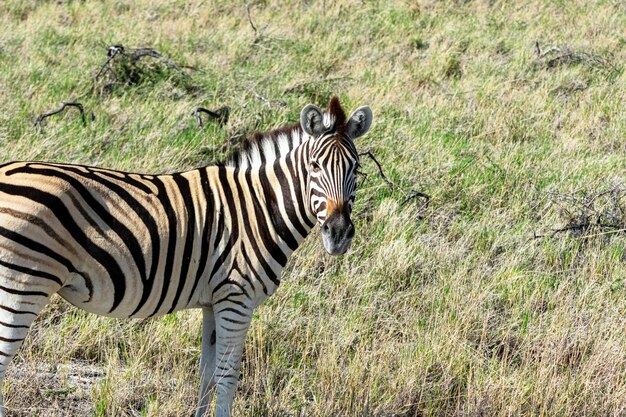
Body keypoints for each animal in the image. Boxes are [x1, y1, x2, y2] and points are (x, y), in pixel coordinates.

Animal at [0, 95, 370, 416]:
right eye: (315, 166)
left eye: (356, 168)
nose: (339, 234)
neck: (258, 209)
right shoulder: (237, 299)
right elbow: (227, 377)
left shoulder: (213, 301)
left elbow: (207, 376)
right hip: (22, 285)